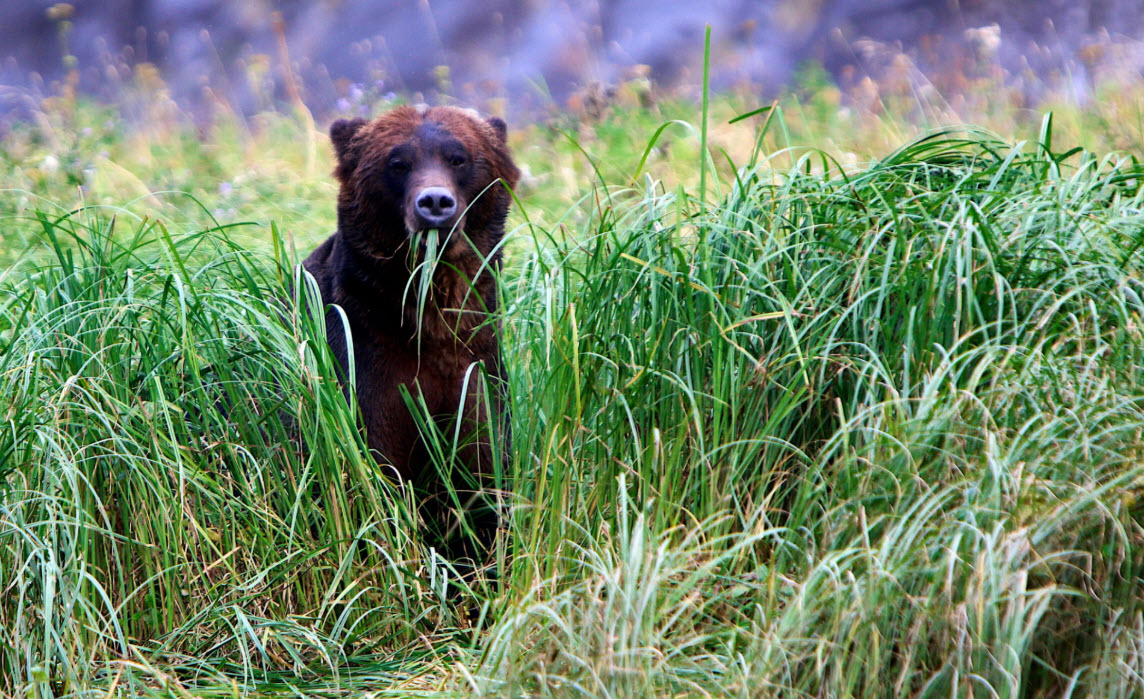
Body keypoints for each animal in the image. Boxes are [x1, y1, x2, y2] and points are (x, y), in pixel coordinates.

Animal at [302, 105, 519, 548]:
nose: (434, 202)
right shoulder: (367, 363)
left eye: (459, 158)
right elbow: (379, 473)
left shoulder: (476, 367)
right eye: (397, 163)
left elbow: (483, 479)